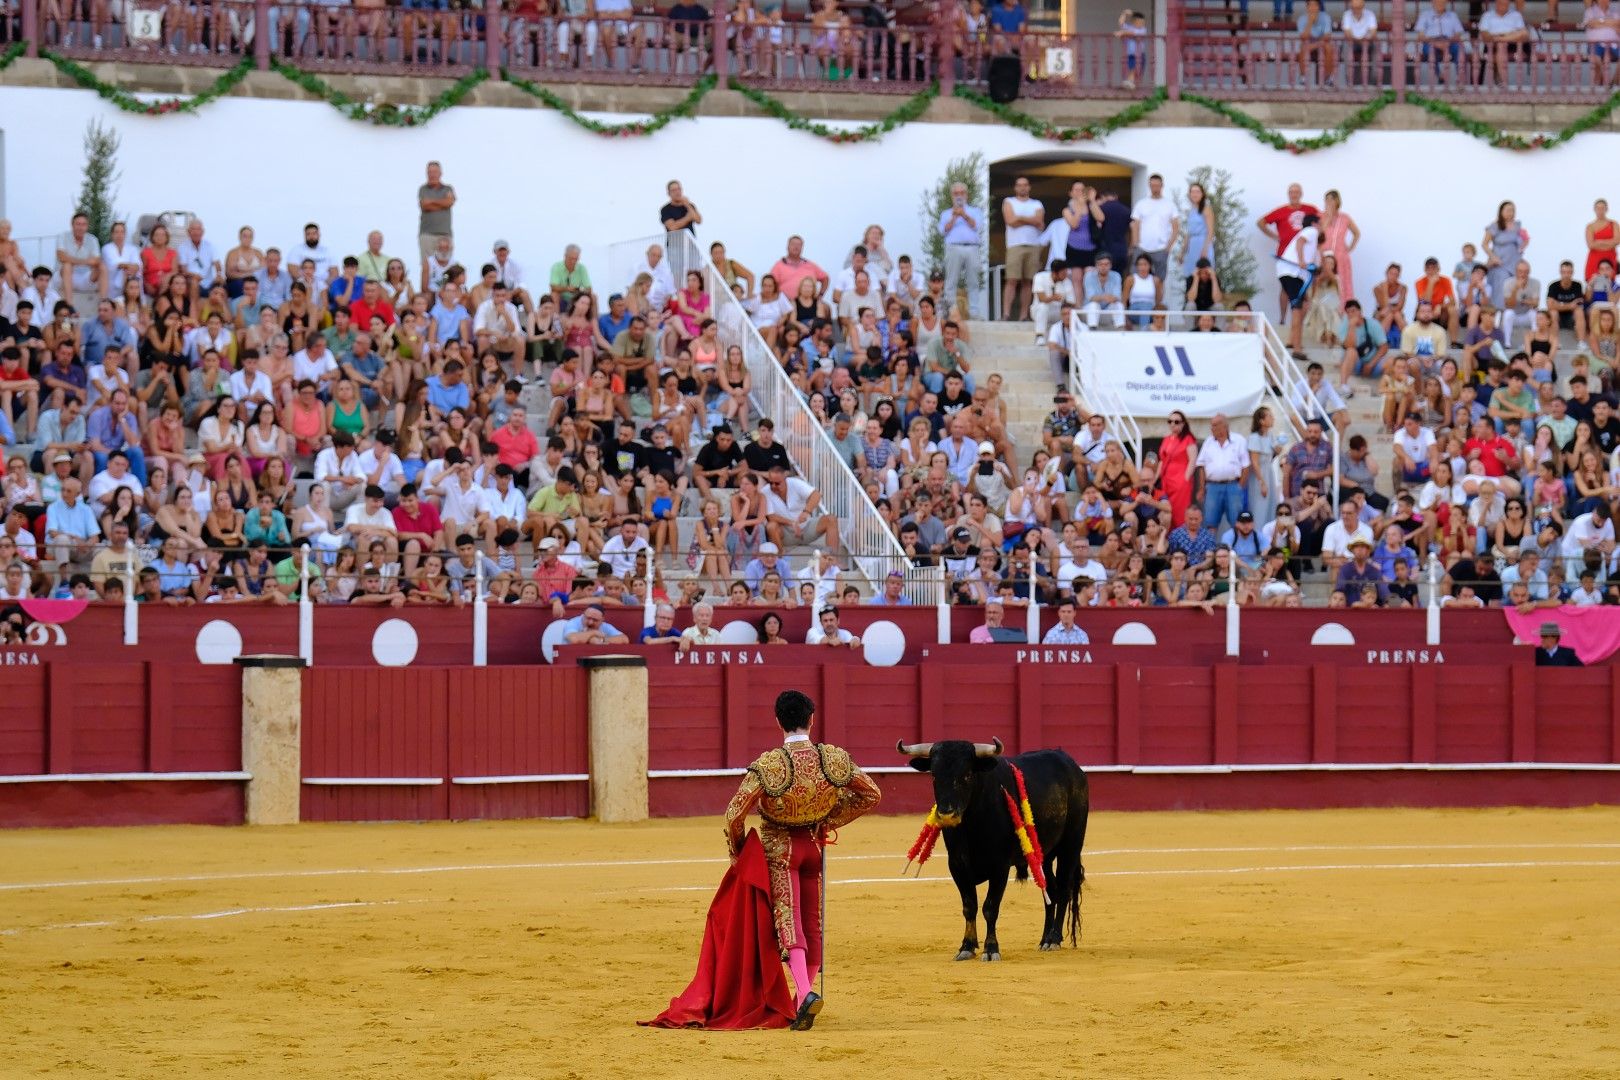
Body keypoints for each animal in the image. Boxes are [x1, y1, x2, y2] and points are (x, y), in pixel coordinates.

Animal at [900, 738, 1088, 958]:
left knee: (1064, 889)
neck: (971, 825)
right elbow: (969, 906)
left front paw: (991, 949)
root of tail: (1072, 765)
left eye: (967, 774)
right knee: (1050, 890)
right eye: (934, 775)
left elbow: (990, 907)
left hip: (1071, 845)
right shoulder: (957, 865)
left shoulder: (1000, 866)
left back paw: (1054, 939)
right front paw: (966, 947)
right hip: (1045, 855)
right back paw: (1044, 939)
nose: (947, 815)